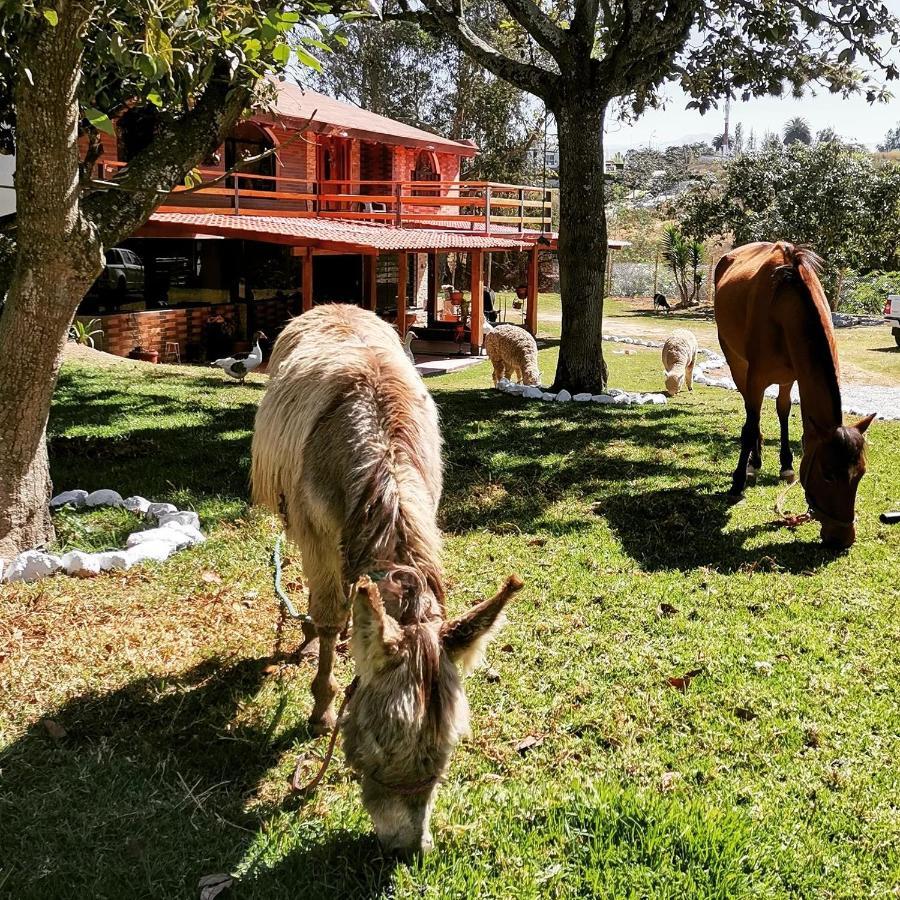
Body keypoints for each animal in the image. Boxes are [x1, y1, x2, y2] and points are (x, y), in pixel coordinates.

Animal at [716, 241, 872, 548]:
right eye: (827, 474)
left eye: (860, 474)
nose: (843, 538)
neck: (786, 303)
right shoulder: (756, 378)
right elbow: (749, 425)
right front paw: (737, 482)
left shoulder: (794, 376)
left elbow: (784, 411)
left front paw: (786, 465)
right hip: (734, 359)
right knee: (750, 412)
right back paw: (753, 462)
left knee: (778, 409)